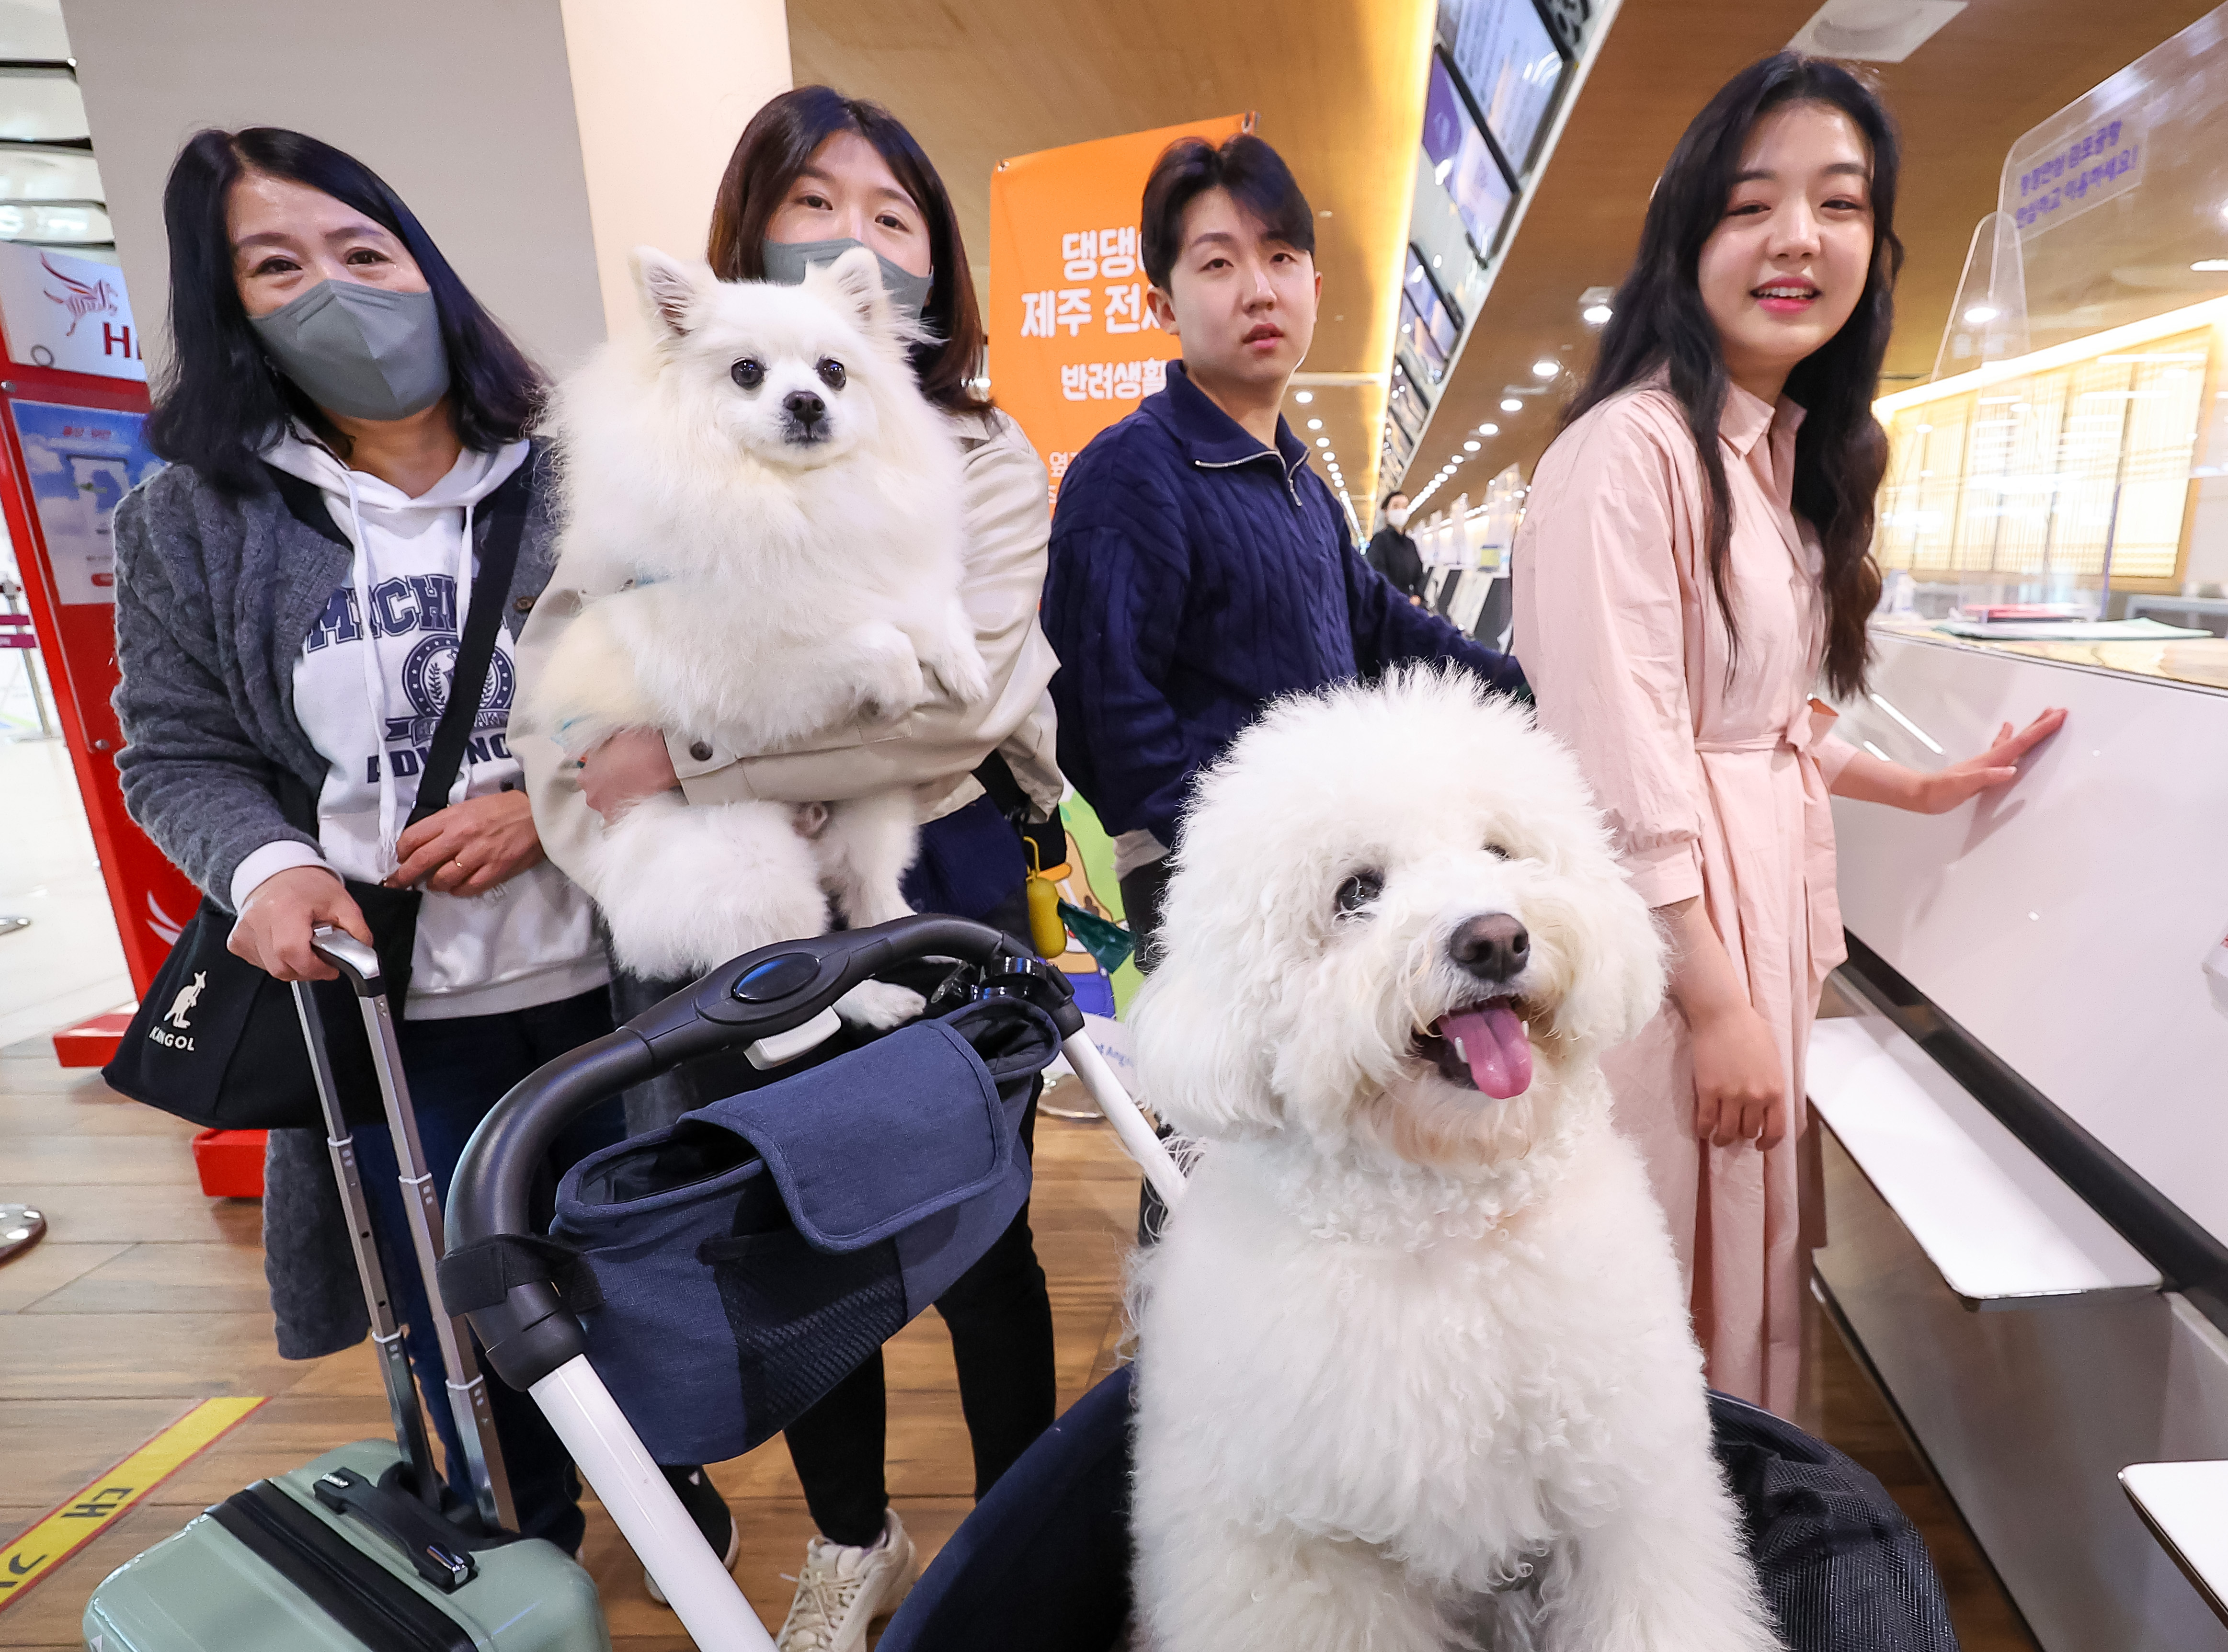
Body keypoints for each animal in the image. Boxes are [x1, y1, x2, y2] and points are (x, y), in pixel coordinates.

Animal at [530, 243, 984, 1024]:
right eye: (747, 372)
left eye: (833, 371)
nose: (805, 402)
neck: (790, 497)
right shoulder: (751, 659)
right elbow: (869, 640)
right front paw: (897, 686)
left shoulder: (890, 569)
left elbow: (928, 608)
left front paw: (963, 664)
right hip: (754, 863)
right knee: (809, 968)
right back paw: (880, 1001)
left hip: (872, 812)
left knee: (868, 900)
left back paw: (924, 938)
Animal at [1131, 668, 1773, 1647]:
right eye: (1355, 891)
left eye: (1500, 851)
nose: (1495, 938)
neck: (1450, 1224)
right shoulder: (1307, 1564)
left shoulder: (1623, 1490)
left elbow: (1656, 1608)